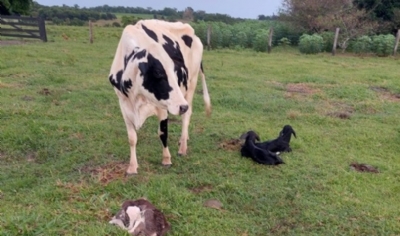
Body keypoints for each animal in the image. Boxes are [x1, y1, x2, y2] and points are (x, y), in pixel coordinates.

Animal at [108, 19, 211, 175]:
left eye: (174, 70)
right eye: (157, 72)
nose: (182, 106)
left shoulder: (163, 105)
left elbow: (163, 133)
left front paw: (166, 159)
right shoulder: (124, 104)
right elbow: (132, 138)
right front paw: (132, 167)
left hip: (191, 83)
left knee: (186, 116)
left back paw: (182, 147)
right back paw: (183, 139)